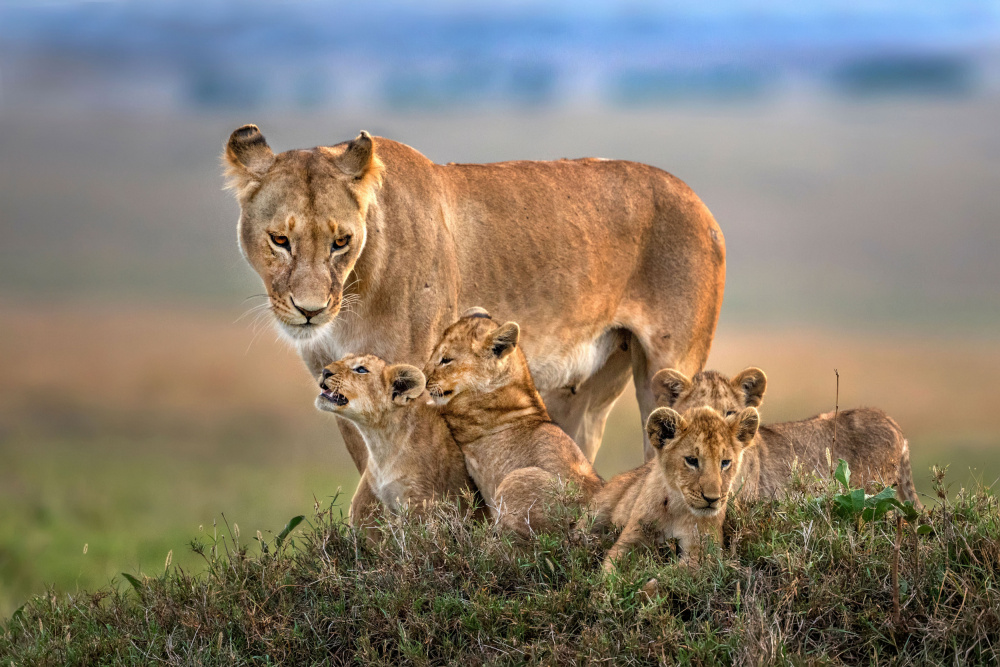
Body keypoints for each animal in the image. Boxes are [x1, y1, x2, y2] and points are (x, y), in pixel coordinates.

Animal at [587, 406, 760, 570]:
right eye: (692, 460)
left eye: (725, 462)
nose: (712, 499)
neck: (677, 506)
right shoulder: (630, 540)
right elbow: (612, 568)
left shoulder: (704, 551)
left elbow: (677, 571)